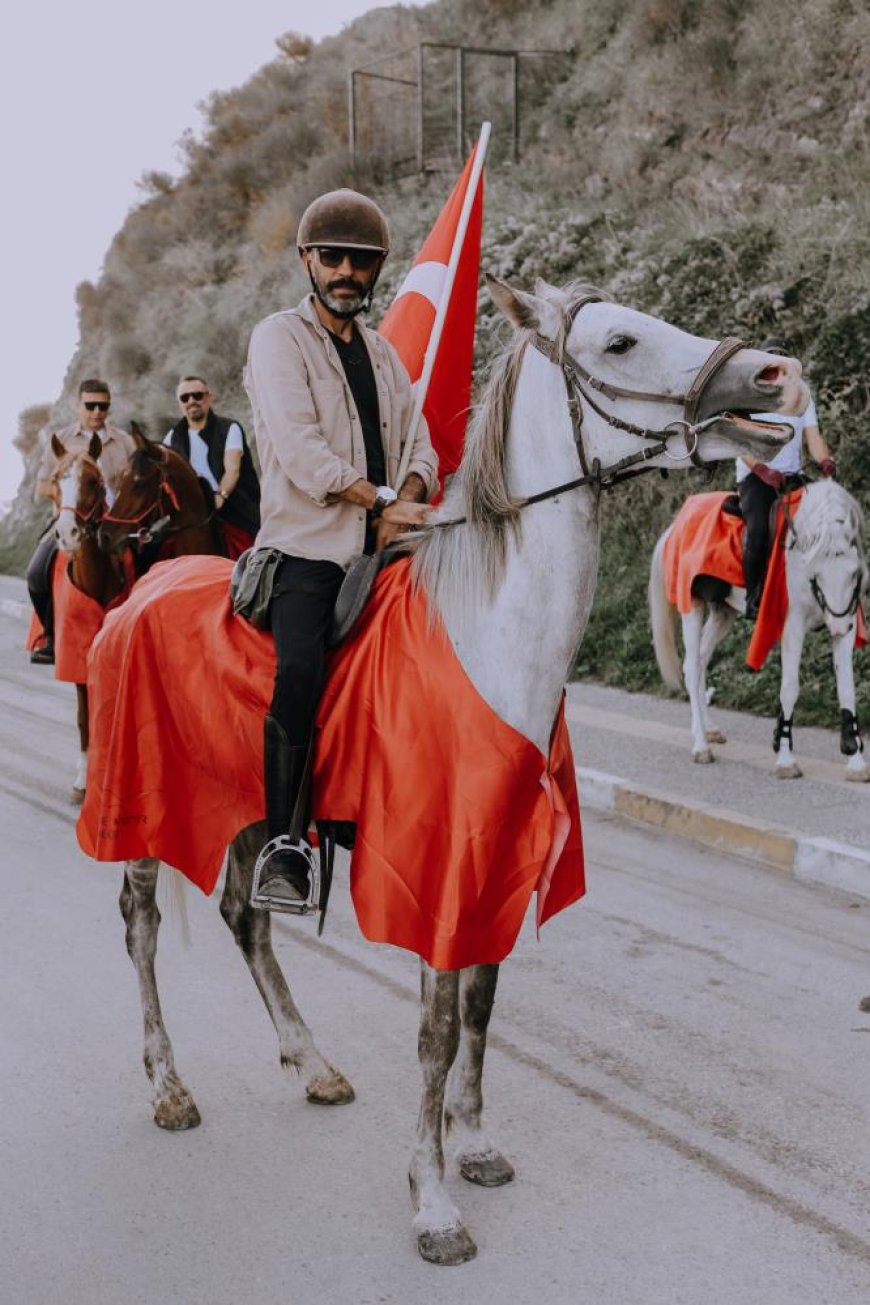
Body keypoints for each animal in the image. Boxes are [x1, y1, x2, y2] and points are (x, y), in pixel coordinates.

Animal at [95, 277, 803, 1263]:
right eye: (621, 341)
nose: (776, 374)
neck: (488, 640)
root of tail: (139, 591)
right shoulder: (431, 873)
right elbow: (434, 1029)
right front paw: (431, 1199)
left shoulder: (496, 856)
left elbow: (481, 1004)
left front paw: (472, 1142)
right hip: (146, 810)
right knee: (143, 926)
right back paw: (167, 1085)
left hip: (249, 809)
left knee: (246, 917)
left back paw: (312, 1063)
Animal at [649, 485, 866, 777]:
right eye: (816, 572)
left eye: (854, 573)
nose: (838, 626)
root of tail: (674, 526)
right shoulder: (793, 628)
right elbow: (790, 688)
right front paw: (785, 759)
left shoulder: (846, 628)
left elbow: (847, 690)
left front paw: (856, 762)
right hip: (692, 605)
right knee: (693, 666)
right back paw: (701, 746)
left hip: (723, 613)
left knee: (700, 661)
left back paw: (708, 729)